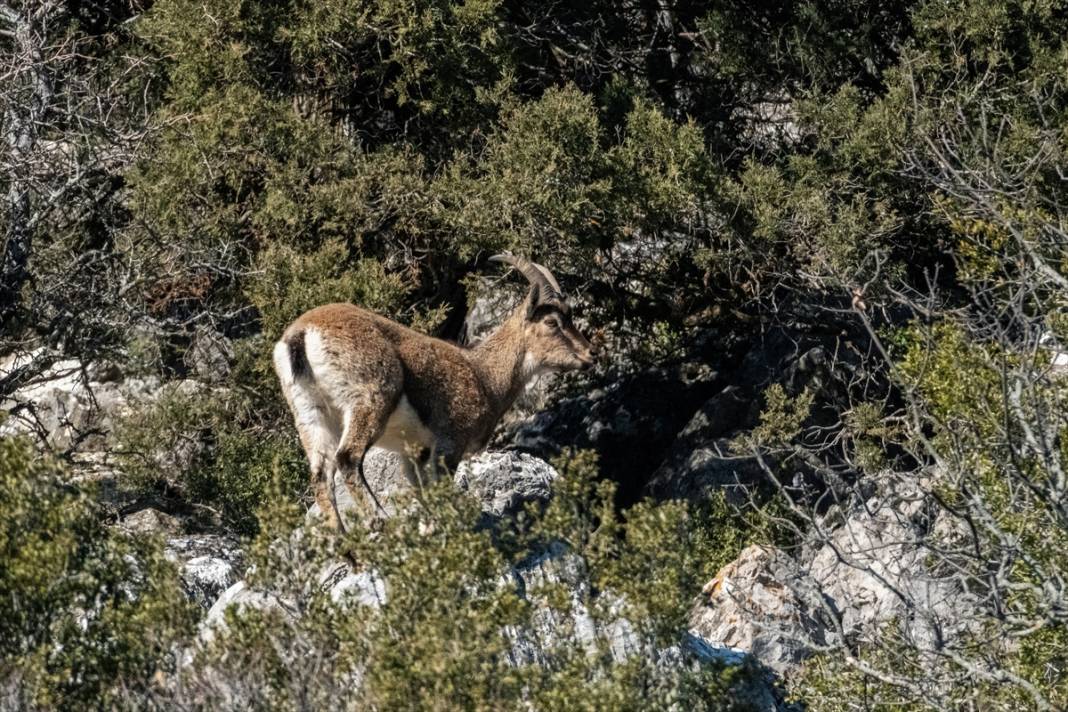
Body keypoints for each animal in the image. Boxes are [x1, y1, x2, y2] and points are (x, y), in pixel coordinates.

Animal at [271, 256, 598, 529]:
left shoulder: (414, 452)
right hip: (370, 399)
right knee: (347, 458)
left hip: (309, 413)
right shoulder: (449, 443)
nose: (590, 354)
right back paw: (381, 523)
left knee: (320, 477)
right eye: (552, 322)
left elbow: (423, 495)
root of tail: (301, 335)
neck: (484, 375)